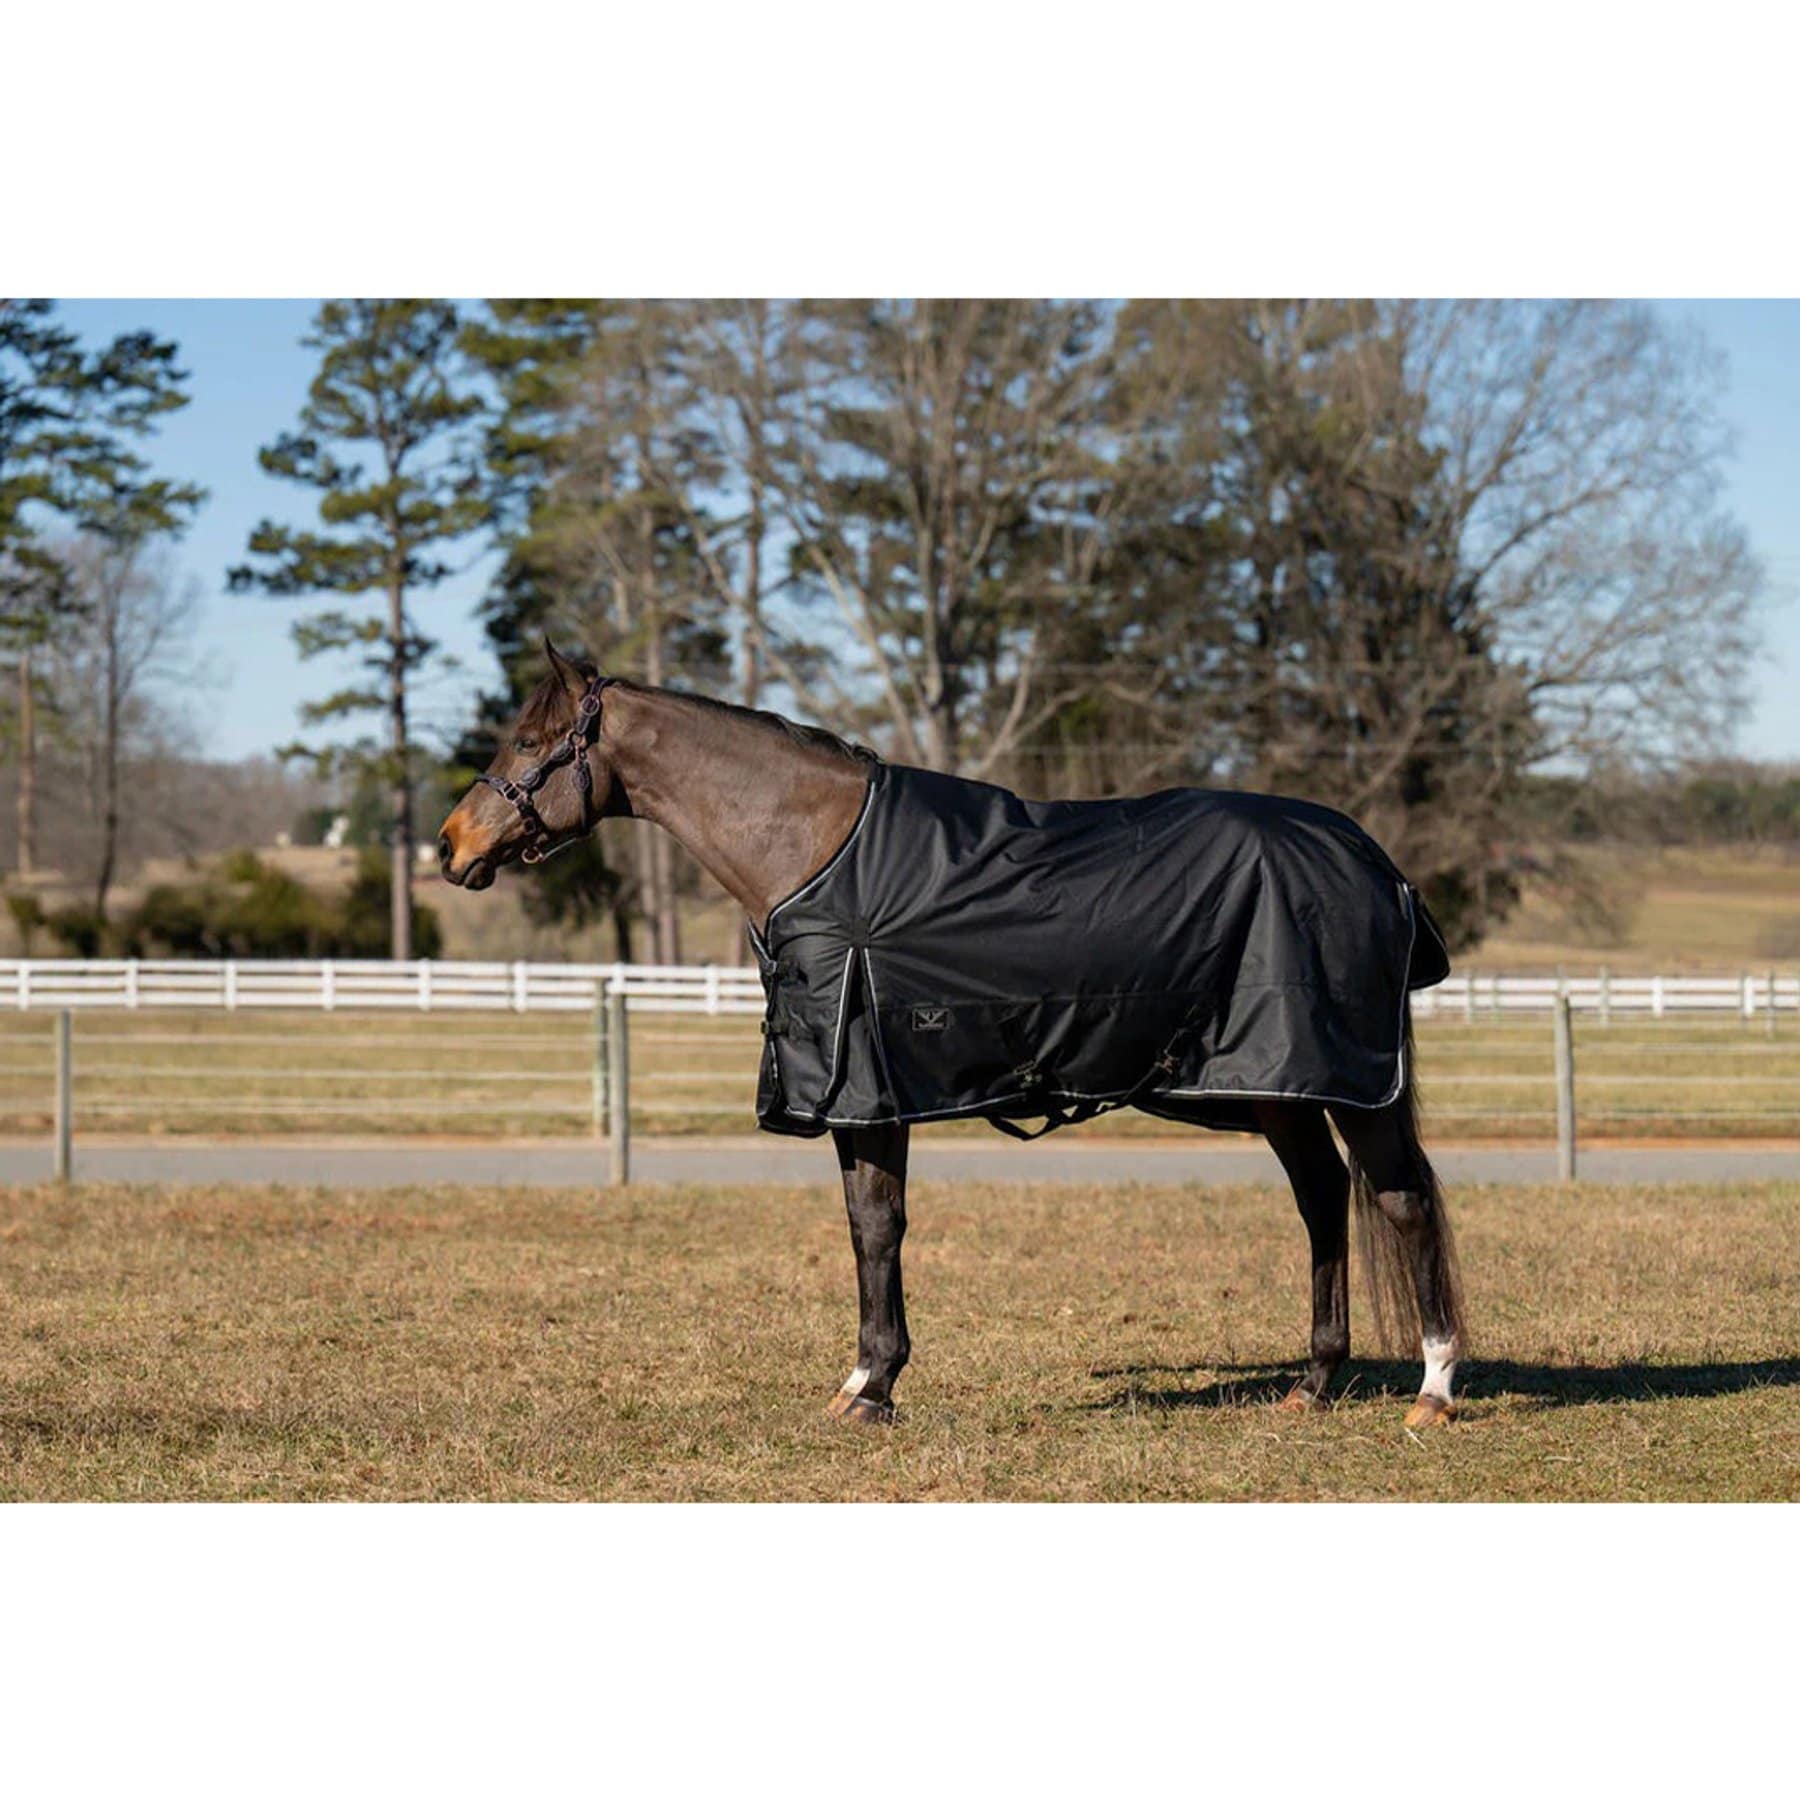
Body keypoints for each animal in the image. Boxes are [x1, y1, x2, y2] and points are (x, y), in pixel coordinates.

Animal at [438, 642, 1465, 1430]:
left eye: (527, 740)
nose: (450, 845)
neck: (816, 850)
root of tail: (1375, 863)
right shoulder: (861, 1098)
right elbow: (866, 1225)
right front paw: (863, 1382)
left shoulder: (870, 1091)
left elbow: (879, 1229)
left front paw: (875, 1388)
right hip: (1278, 1087)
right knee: (1323, 1200)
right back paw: (1313, 1383)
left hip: (1344, 1083)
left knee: (1403, 1202)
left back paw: (1434, 1391)